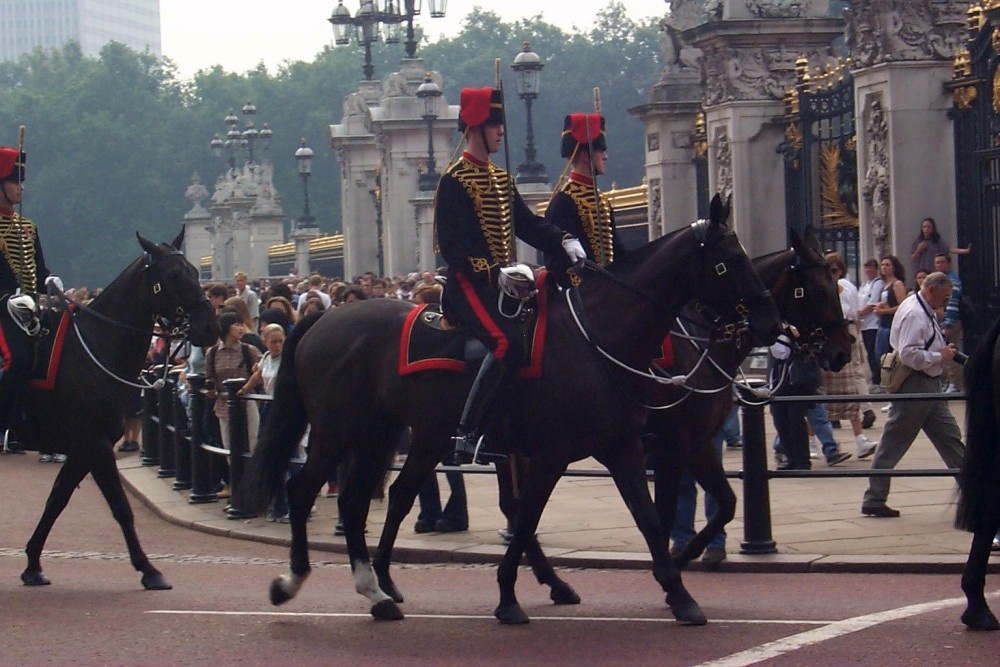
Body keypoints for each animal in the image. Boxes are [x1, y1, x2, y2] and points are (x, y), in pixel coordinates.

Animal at [13, 231, 218, 588]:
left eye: (195, 271)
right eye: (173, 275)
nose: (210, 328)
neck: (96, 349)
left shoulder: (86, 447)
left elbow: (57, 499)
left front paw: (33, 563)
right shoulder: (95, 445)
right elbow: (121, 507)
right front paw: (150, 570)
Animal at [240, 193, 780, 628]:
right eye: (729, 260)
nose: (772, 325)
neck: (599, 337)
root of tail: (320, 318)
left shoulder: (622, 447)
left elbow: (648, 517)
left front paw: (678, 590)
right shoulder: (559, 452)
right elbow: (528, 517)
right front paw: (510, 597)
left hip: (386, 433)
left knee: (360, 500)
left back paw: (378, 592)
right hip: (338, 432)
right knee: (304, 490)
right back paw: (292, 582)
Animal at [648, 227, 852, 568]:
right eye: (821, 291)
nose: (842, 353)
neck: (700, 343)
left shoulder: (697, 442)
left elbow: (726, 503)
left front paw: (689, 554)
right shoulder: (671, 443)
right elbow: (662, 516)